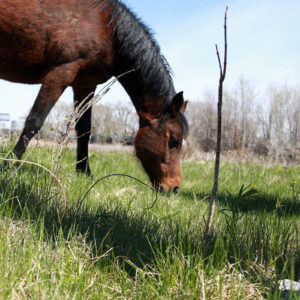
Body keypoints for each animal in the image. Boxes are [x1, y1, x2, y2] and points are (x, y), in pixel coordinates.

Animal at [0, 0, 188, 192]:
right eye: (174, 141)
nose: (174, 188)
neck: (108, 30)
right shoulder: (60, 73)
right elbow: (33, 122)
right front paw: (9, 168)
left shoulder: (84, 84)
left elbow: (84, 129)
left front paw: (84, 173)